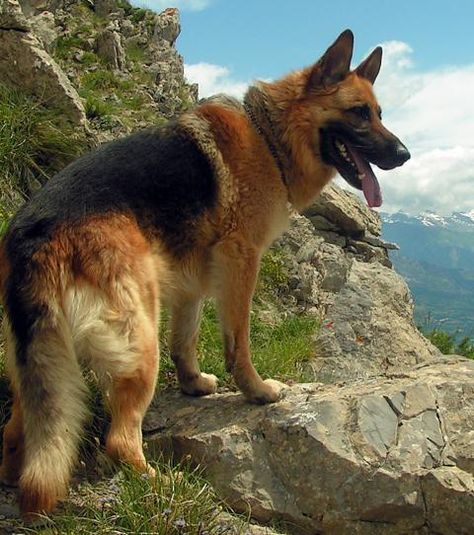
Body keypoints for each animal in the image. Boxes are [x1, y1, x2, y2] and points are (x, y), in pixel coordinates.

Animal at [0, 30, 408, 520]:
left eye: (380, 114)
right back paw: (159, 484)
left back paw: (15, 479)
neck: (270, 136)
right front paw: (255, 390)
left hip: (44, 361)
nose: (405, 154)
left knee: (20, 430)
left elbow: (186, 338)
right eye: (358, 113)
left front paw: (193, 383)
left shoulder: (191, 279)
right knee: (119, 439)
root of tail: (34, 233)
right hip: (140, 341)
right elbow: (238, 342)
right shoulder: (240, 261)